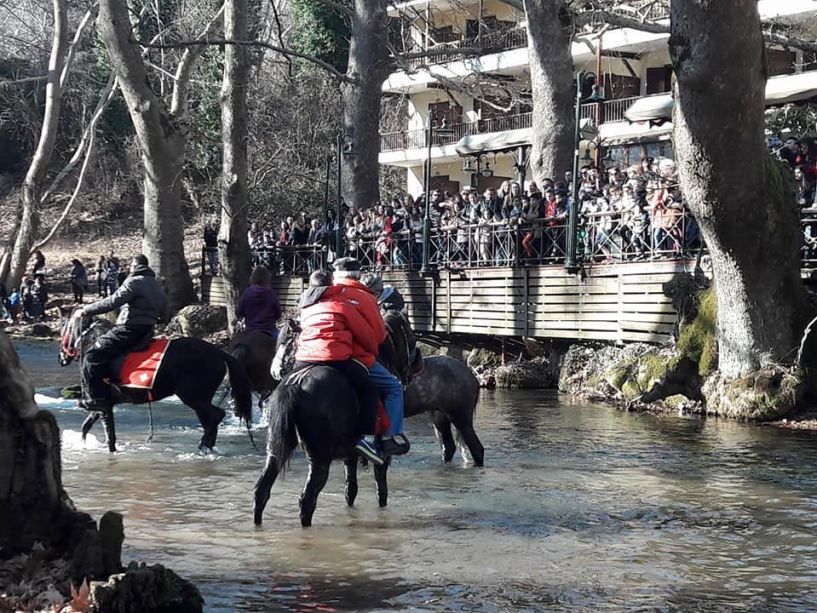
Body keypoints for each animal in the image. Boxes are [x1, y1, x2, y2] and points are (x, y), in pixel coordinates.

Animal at [58, 308, 252, 452]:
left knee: (216, 416)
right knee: (210, 421)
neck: (91, 340)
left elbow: (109, 436)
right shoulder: (106, 403)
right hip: (200, 400)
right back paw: (207, 447)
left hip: (194, 398)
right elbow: (87, 426)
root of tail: (220, 353)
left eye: (62, 327)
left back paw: (203, 446)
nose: (61, 359)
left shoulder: (103, 405)